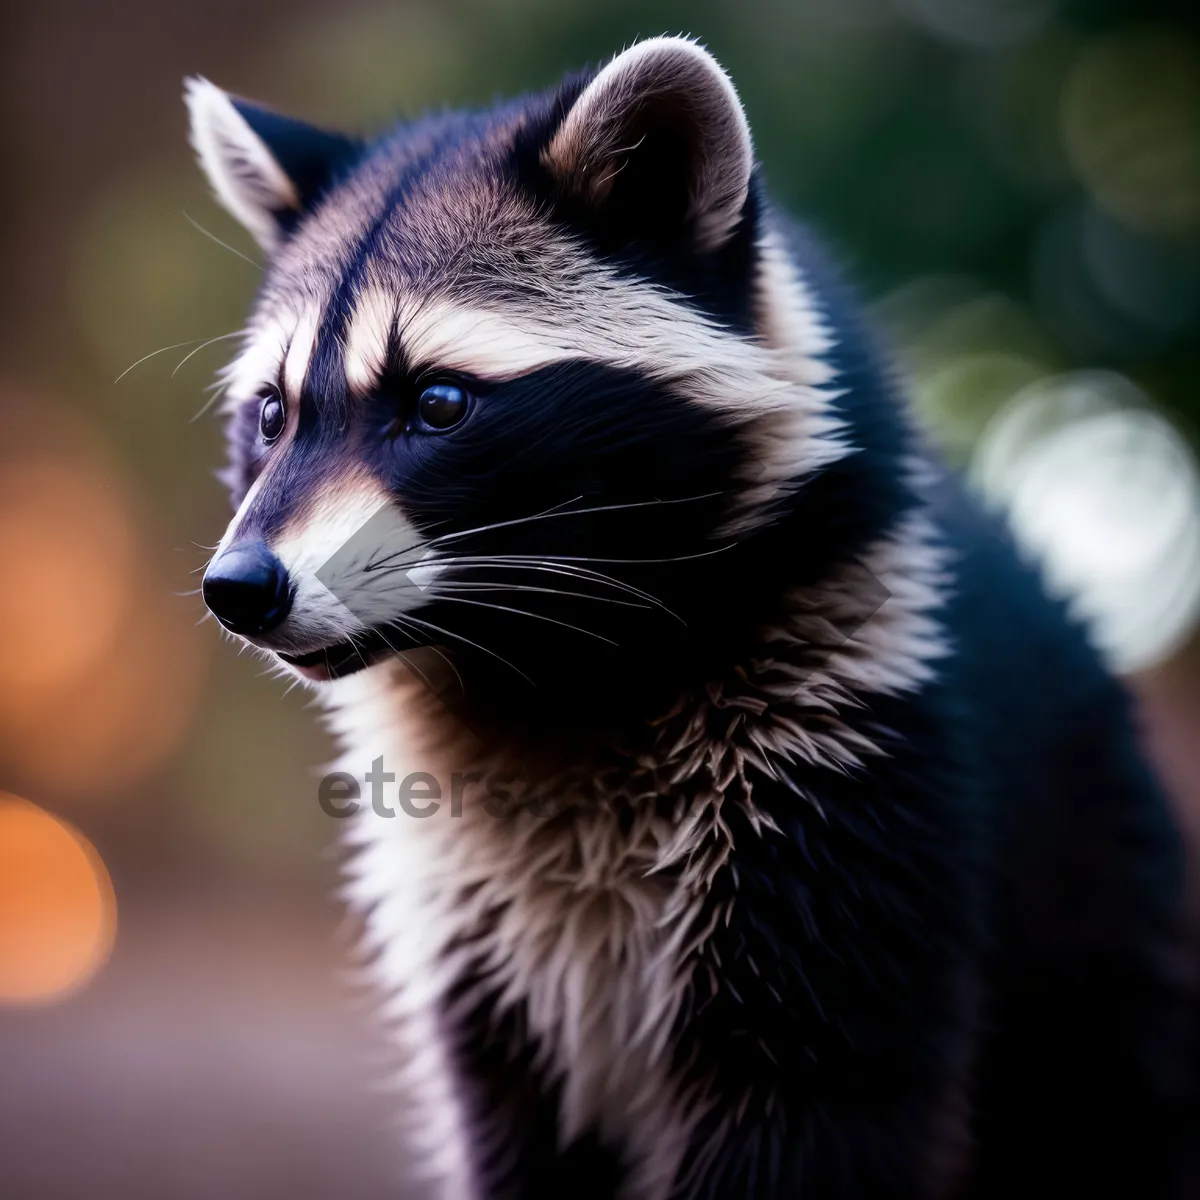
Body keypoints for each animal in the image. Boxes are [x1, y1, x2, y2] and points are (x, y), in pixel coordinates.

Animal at [184, 35, 1190, 1200]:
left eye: (437, 404)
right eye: (272, 414)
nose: (239, 588)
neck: (543, 658)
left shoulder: (854, 780)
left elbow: (813, 1117)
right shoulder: (461, 916)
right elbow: (515, 1139)